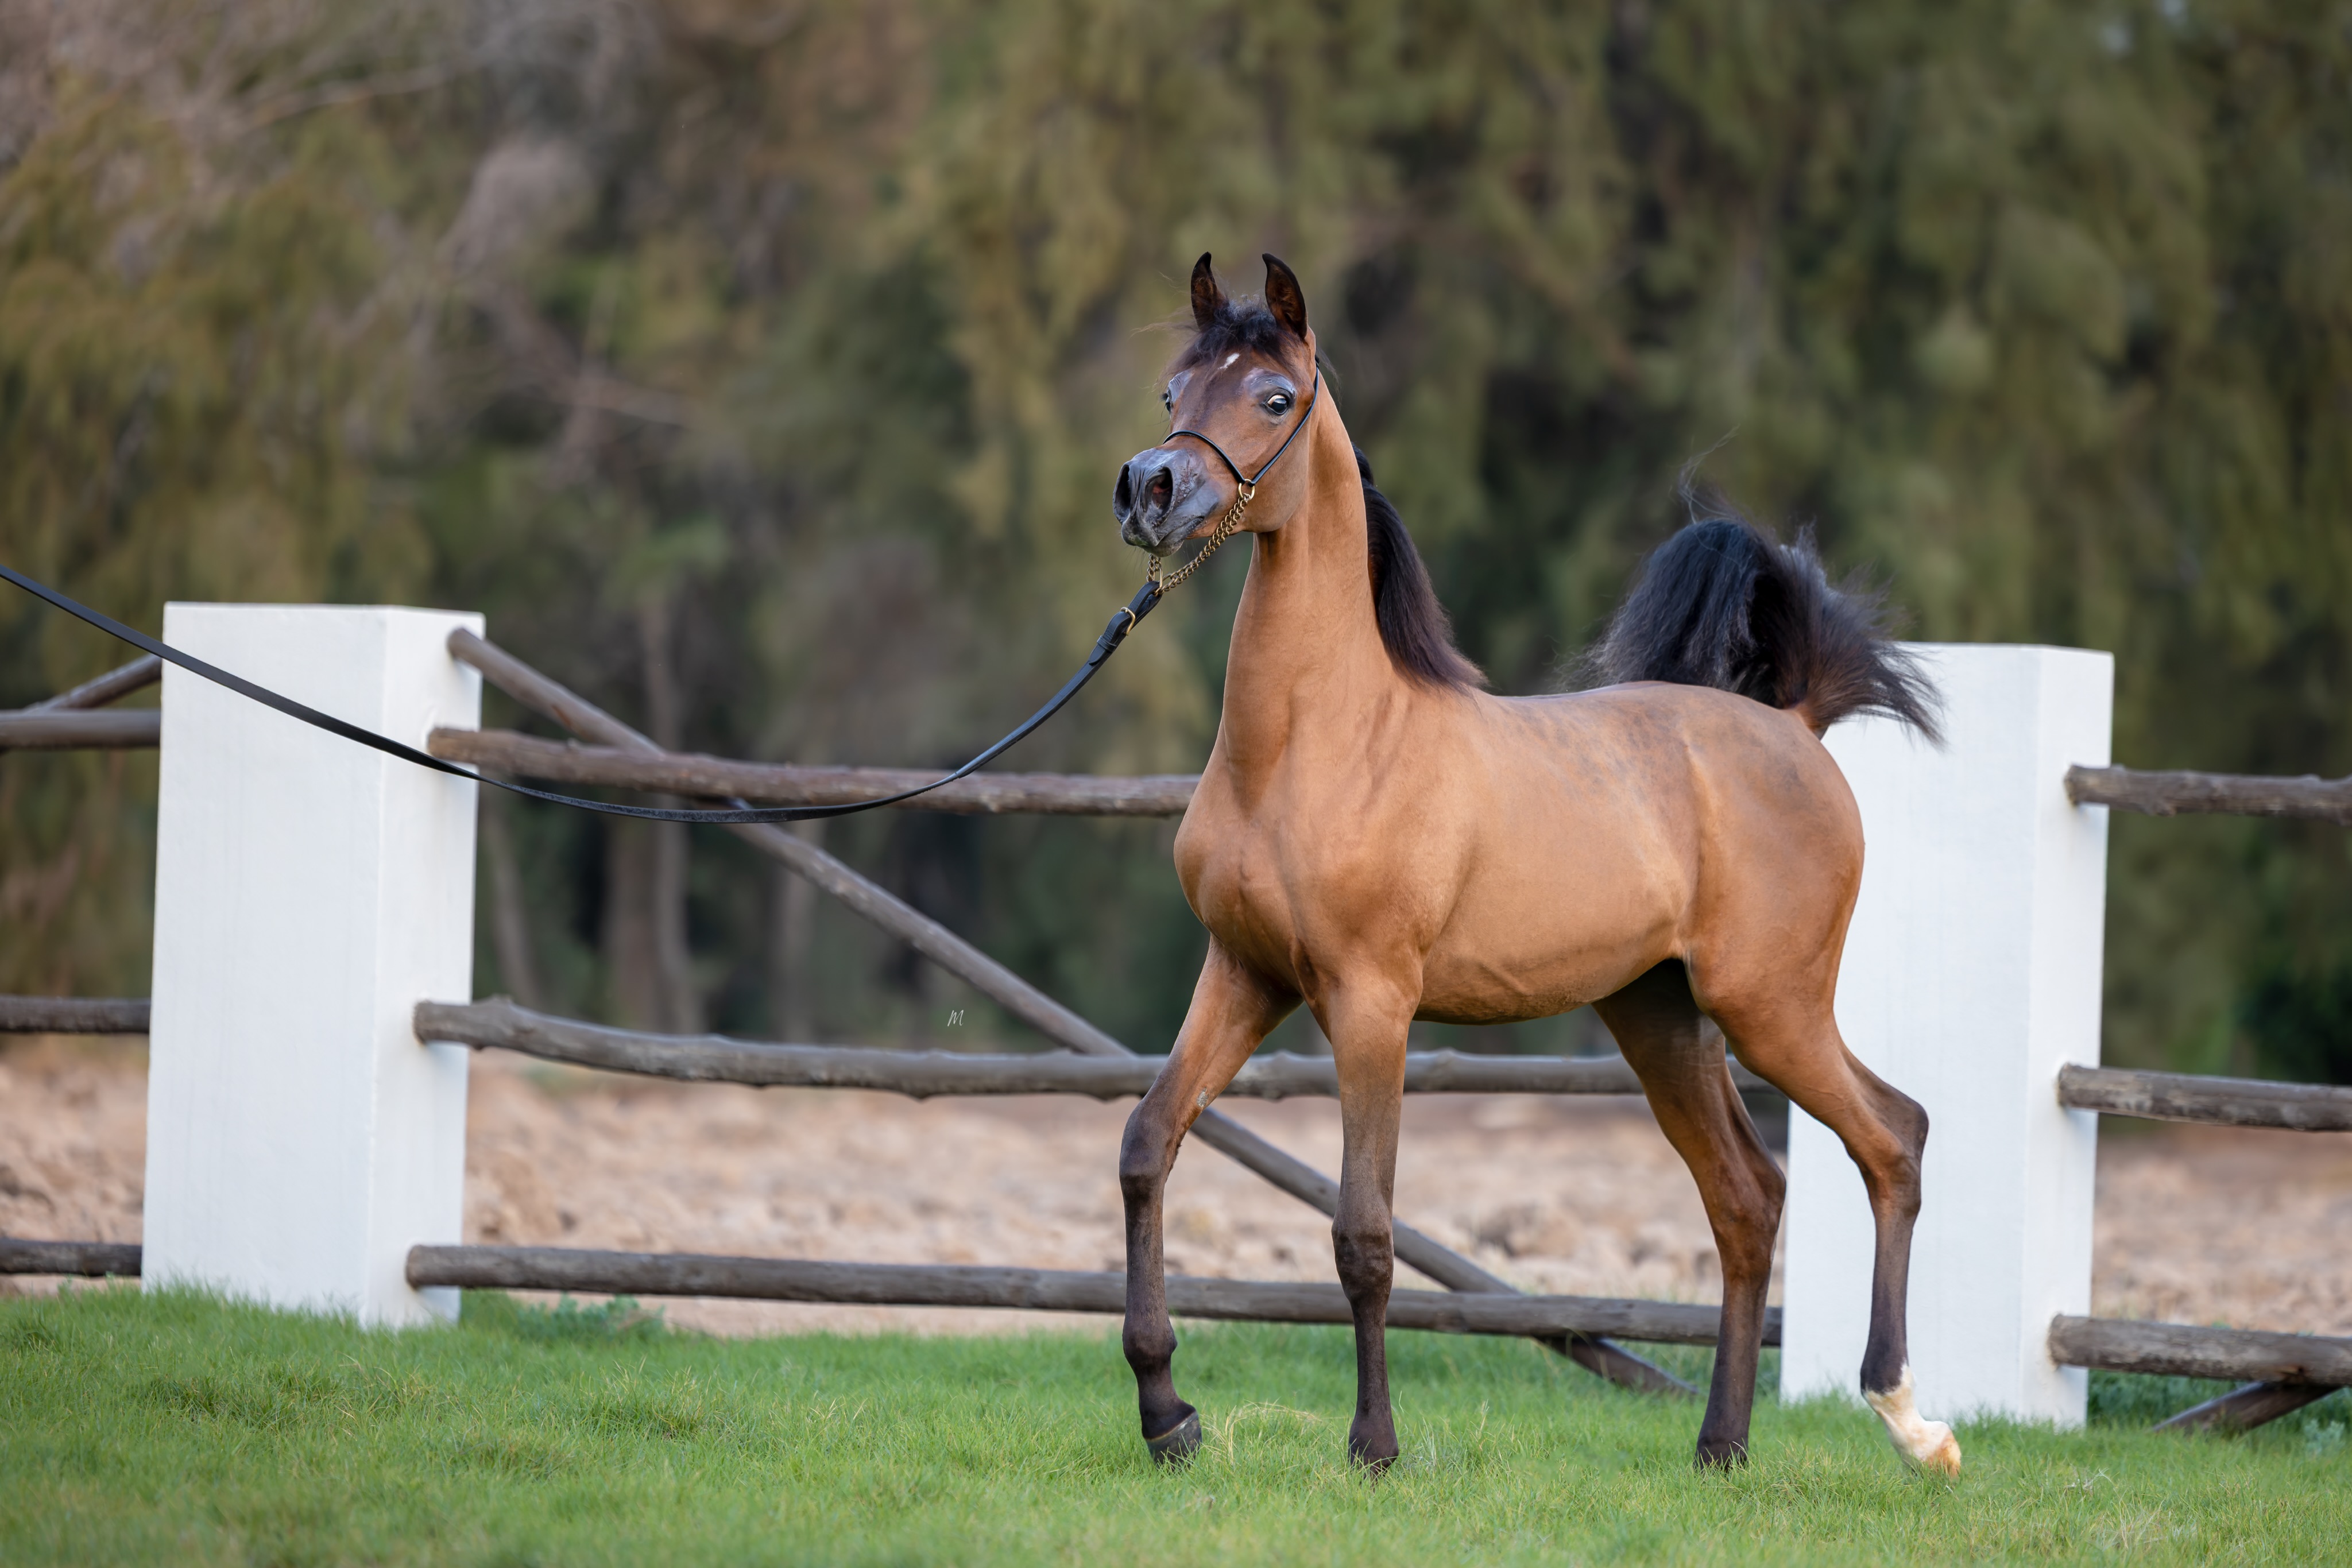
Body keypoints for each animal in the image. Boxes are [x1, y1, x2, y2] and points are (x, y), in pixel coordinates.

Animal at [1107, 253, 1955, 1476]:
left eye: (1271, 398)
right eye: (1175, 391)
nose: (1150, 488)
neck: (1324, 741)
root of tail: (1794, 723)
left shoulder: (1371, 1003)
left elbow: (1364, 1232)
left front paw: (1373, 1447)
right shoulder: (1244, 974)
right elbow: (1147, 1144)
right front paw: (1167, 1415)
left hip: (1772, 1009)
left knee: (1893, 1139)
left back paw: (1908, 1418)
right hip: (1661, 1020)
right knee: (1748, 1199)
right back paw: (1721, 1446)